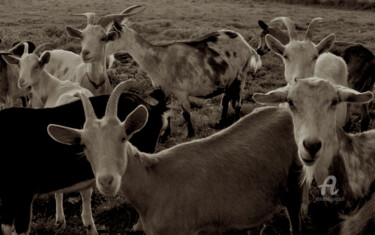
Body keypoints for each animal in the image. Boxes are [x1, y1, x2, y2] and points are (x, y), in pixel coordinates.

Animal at [2, 43, 97, 234]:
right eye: (19, 65)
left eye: (37, 65)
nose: (22, 82)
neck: (53, 87)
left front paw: (60, 219)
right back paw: (90, 224)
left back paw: (63, 219)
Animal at [106, 5, 262, 138]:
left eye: (112, 35)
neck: (159, 59)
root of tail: (246, 45)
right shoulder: (165, 89)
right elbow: (167, 110)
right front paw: (165, 135)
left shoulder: (181, 91)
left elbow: (185, 113)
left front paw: (190, 134)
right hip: (228, 78)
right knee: (226, 100)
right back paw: (221, 122)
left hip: (241, 74)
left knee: (238, 103)